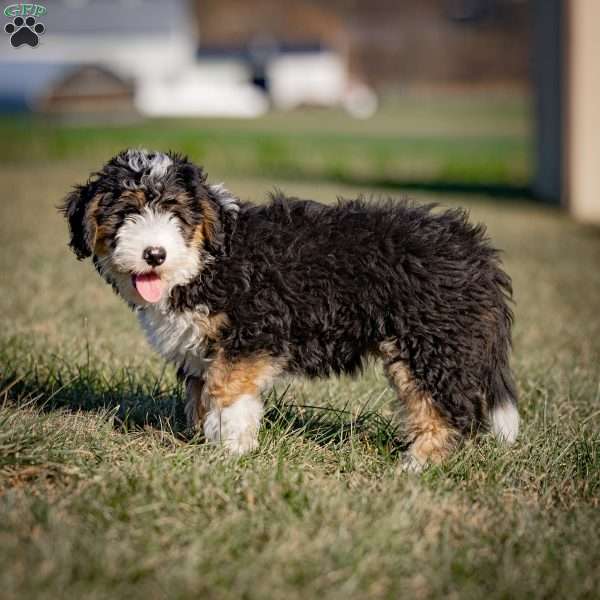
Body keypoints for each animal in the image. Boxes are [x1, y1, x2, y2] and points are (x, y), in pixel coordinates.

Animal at [62, 149, 520, 468]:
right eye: (126, 212)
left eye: (175, 211)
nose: (154, 254)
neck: (208, 258)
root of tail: (478, 252)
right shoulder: (202, 349)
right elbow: (202, 396)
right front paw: (209, 443)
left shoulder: (250, 334)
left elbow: (226, 393)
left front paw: (230, 449)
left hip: (427, 342)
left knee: (444, 406)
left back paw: (416, 465)